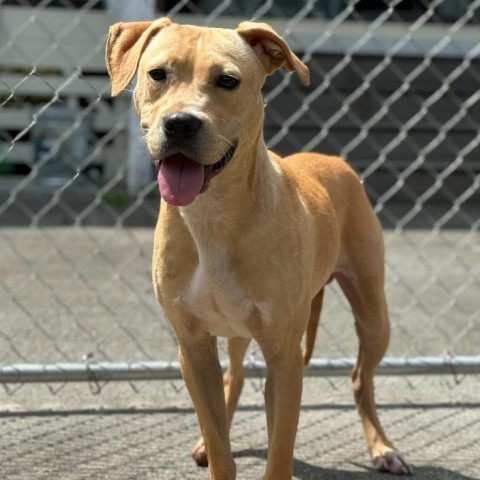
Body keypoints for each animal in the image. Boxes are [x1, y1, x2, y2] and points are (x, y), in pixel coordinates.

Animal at [105, 18, 412, 480]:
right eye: (157, 74)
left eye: (228, 81)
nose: (180, 123)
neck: (213, 215)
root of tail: (331, 159)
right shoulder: (192, 349)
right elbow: (219, 440)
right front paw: (212, 447)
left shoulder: (285, 358)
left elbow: (279, 450)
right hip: (234, 332)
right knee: (233, 376)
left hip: (375, 314)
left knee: (362, 377)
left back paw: (383, 448)